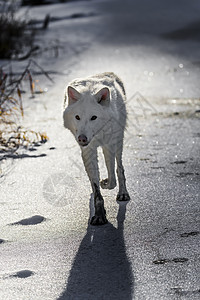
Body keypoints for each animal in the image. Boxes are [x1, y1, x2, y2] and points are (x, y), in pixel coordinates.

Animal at [63, 72, 130, 225]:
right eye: (77, 117)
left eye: (94, 117)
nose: (82, 138)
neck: (97, 135)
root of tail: (109, 73)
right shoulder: (88, 151)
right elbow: (95, 187)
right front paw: (99, 215)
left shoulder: (109, 144)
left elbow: (112, 178)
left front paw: (105, 183)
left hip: (118, 141)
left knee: (119, 168)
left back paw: (123, 193)